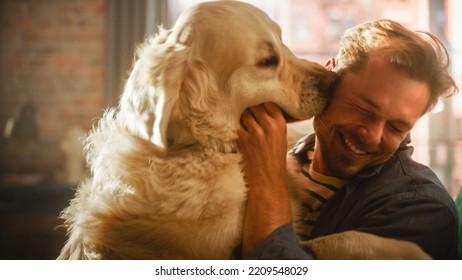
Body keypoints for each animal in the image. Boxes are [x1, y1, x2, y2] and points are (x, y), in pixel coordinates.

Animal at [57, 0, 430, 260]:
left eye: (283, 41)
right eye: (267, 61)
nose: (333, 82)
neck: (207, 146)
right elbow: (338, 240)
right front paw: (416, 251)